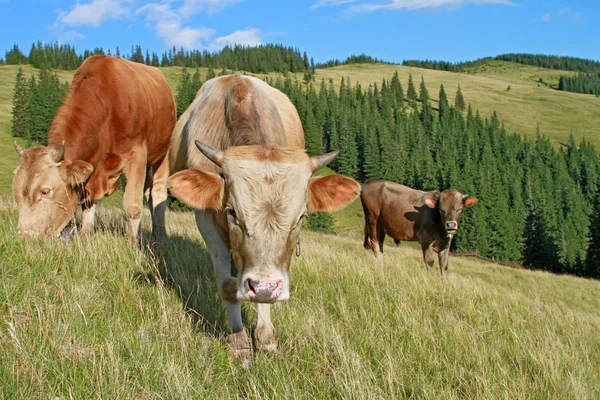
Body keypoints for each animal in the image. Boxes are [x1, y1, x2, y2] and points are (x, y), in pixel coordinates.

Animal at [12, 55, 176, 244]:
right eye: (16, 193)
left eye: (45, 191)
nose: (26, 236)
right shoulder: (90, 171)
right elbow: (87, 204)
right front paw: (85, 237)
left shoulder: (137, 155)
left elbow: (133, 207)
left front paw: (136, 244)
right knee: (149, 192)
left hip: (161, 154)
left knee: (157, 193)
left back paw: (162, 236)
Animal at [166, 74, 358, 366]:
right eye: (232, 212)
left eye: (301, 216)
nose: (265, 287)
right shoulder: (206, 217)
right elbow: (227, 286)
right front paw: (239, 343)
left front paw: (265, 340)